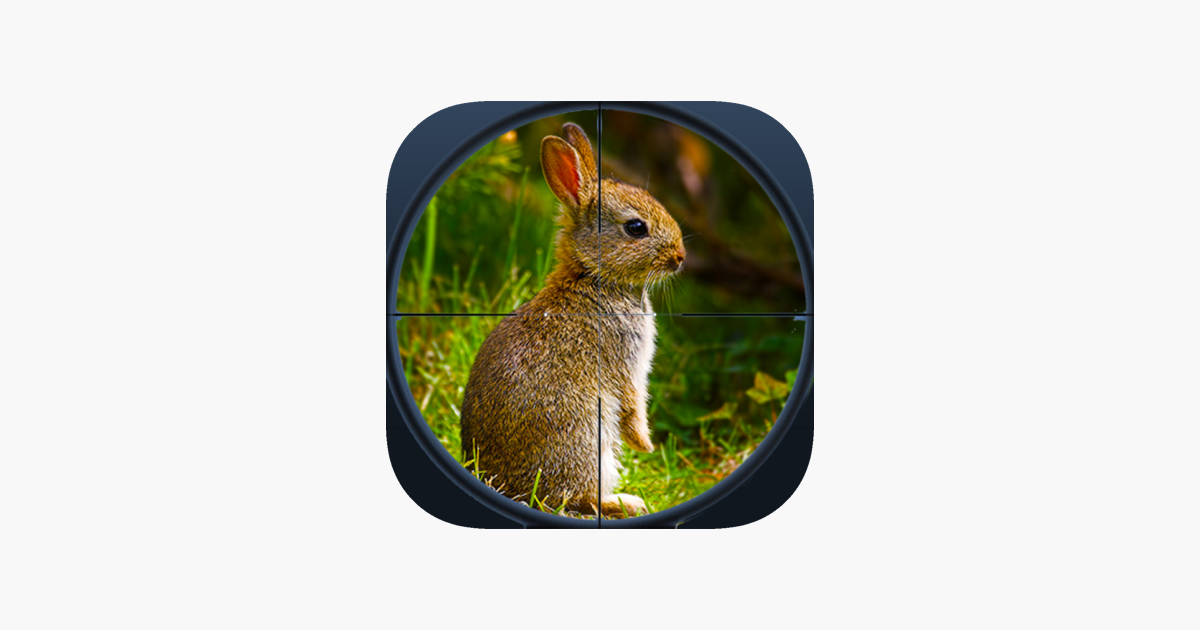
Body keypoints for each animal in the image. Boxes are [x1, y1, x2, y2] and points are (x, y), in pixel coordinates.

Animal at [459, 122, 686, 517]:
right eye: (636, 228)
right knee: (576, 497)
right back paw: (627, 502)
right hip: (587, 436)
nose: (680, 256)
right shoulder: (625, 365)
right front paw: (645, 445)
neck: (594, 277)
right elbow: (633, 405)